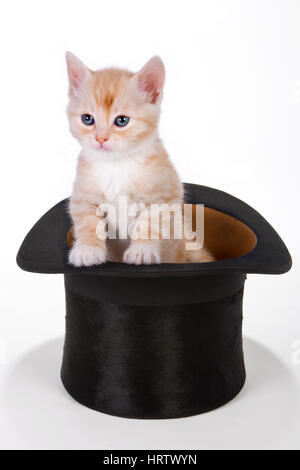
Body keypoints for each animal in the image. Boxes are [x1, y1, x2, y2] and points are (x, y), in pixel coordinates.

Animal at [65, 52, 213, 264]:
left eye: (121, 121)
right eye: (87, 119)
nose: (100, 138)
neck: (117, 165)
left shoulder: (164, 195)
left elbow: (149, 223)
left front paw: (142, 251)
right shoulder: (82, 196)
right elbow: (87, 222)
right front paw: (87, 249)